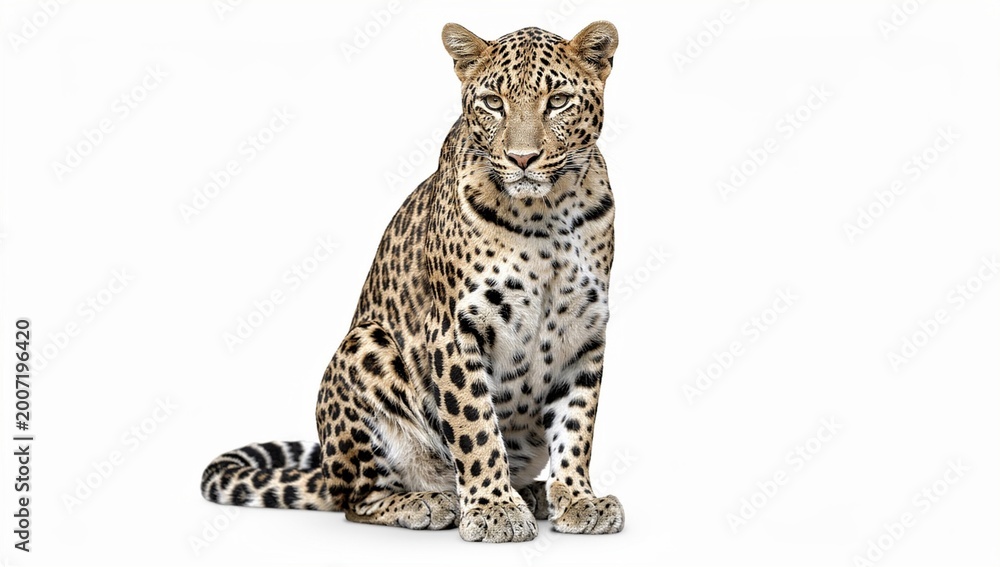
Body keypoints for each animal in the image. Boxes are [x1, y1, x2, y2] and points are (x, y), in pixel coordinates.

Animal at [201, 20, 623, 543]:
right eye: (493, 103)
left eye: (558, 101)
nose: (522, 158)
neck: (546, 211)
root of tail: (328, 471)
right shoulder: (456, 328)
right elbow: (475, 426)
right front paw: (493, 509)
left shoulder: (587, 331)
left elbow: (577, 424)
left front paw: (579, 498)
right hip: (365, 347)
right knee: (358, 500)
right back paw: (432, 501)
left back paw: (533, 493)